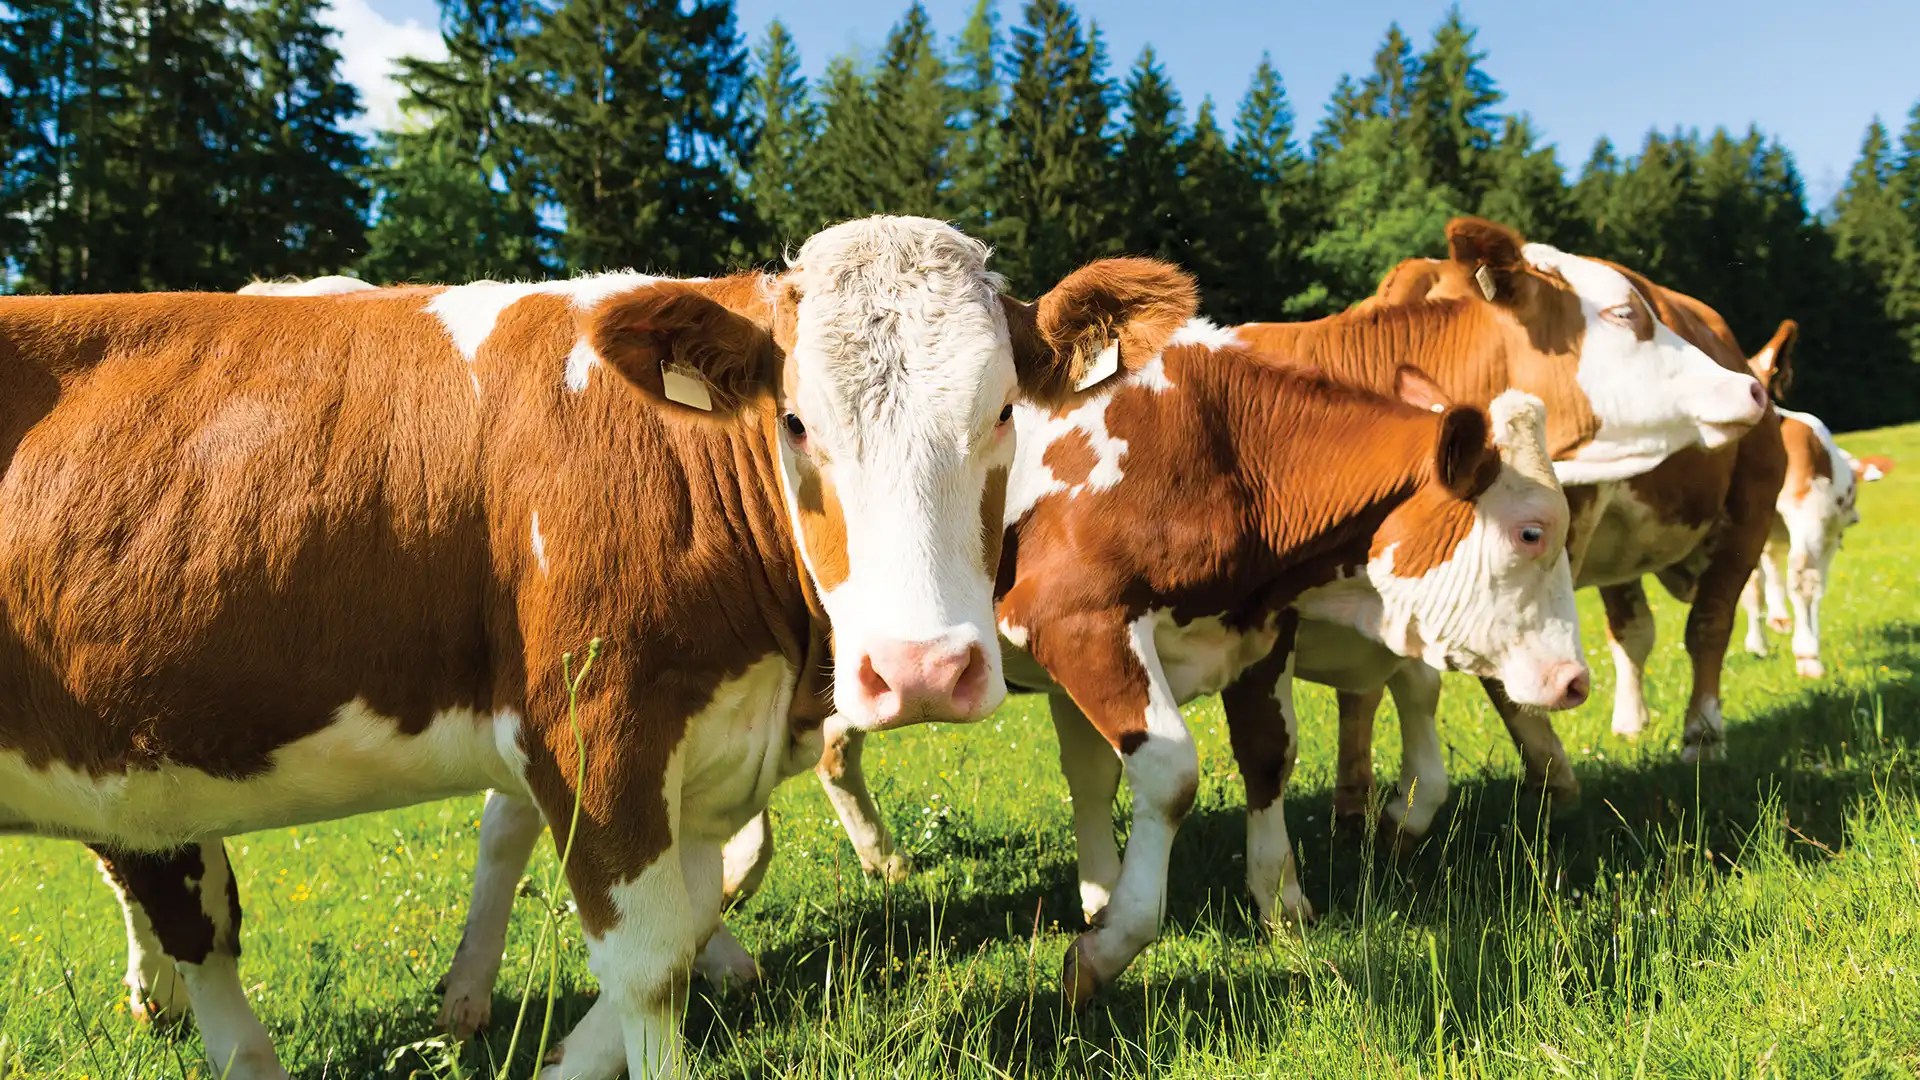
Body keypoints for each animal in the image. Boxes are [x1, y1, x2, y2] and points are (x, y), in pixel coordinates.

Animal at [0, 216, 1193, 1080]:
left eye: (1003, 412)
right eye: (795, 422)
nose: (924, 672)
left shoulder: (706, 746)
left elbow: (681, 924)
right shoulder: (595, 729)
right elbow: (649, 965)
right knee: (194, 920)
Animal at [1738, 324, 1889, 676]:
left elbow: (1764, 579)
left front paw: (1771, 628)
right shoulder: (1826, 533)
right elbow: (1814, 585)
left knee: (1754, 581)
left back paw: (1762, 642)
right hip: (1811, 516)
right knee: (1805, 577)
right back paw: (1808, 656)